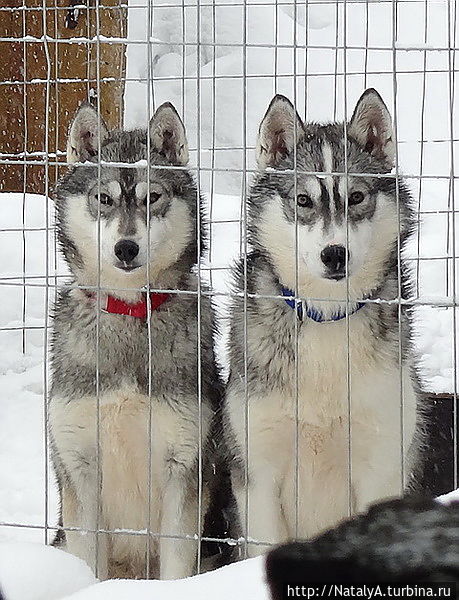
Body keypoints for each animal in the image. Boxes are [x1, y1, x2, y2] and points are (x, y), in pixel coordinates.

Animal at [225, 88, 426, 552]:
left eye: (357, 197)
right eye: (303, 200)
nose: (335, 255)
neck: (327, 317)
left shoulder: (382, 459)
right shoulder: (258, 471)